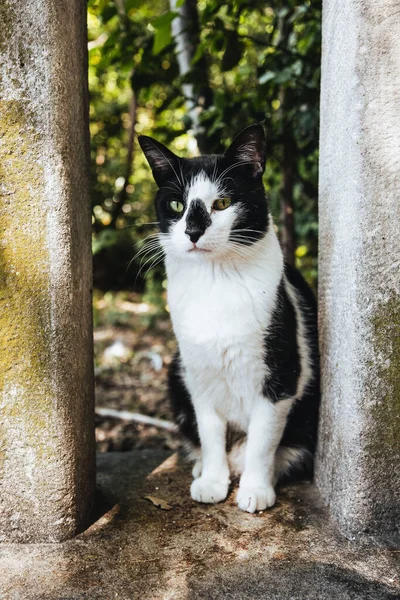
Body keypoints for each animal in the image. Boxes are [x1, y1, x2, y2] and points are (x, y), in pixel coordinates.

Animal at [139, 124, 320, 512]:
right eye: (176, 205)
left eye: (221, 203)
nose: (193, 232)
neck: (216, 283)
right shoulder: (198, 374)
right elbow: (210, 434)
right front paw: (211, 481)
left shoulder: (280, 376)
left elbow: (263, 441)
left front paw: (255, 489)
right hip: (176, 374)